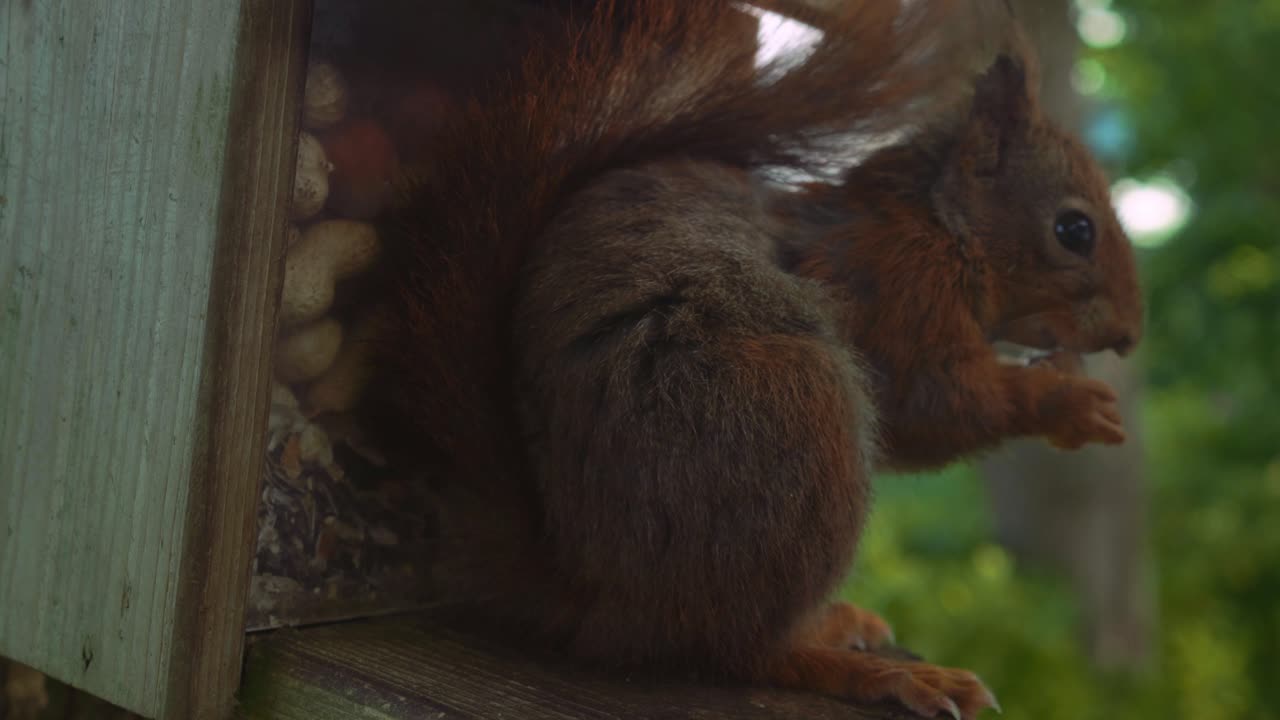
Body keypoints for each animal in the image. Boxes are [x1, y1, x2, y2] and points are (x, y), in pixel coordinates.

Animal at [367, 1, 1143, 718]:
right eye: (1074, 230)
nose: (1131, 337)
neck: (937, 226)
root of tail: (592, 591)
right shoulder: (893, 290)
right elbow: (934, 403)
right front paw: (1066, 402)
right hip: (792, 407)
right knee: (741, 649)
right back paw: (872, 671)